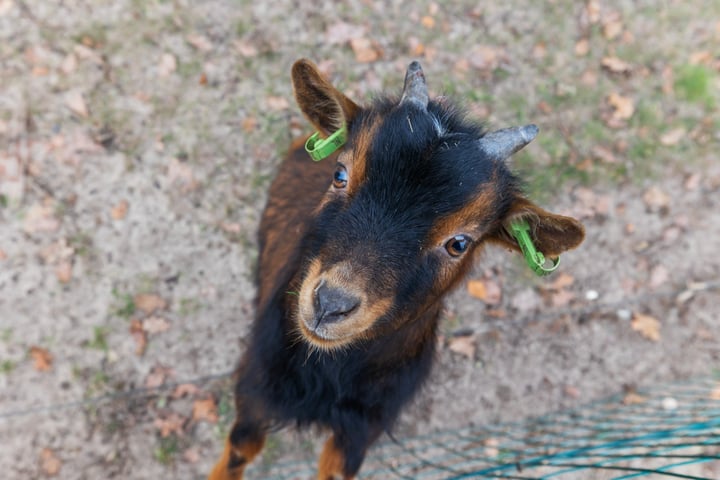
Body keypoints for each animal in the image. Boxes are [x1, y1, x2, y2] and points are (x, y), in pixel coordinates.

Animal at [210, 60, 584, 480]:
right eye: (340, 174)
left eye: (459, 243)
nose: (330, 305)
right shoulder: (255, 391)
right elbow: (239, 450)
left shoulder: (363, 428)